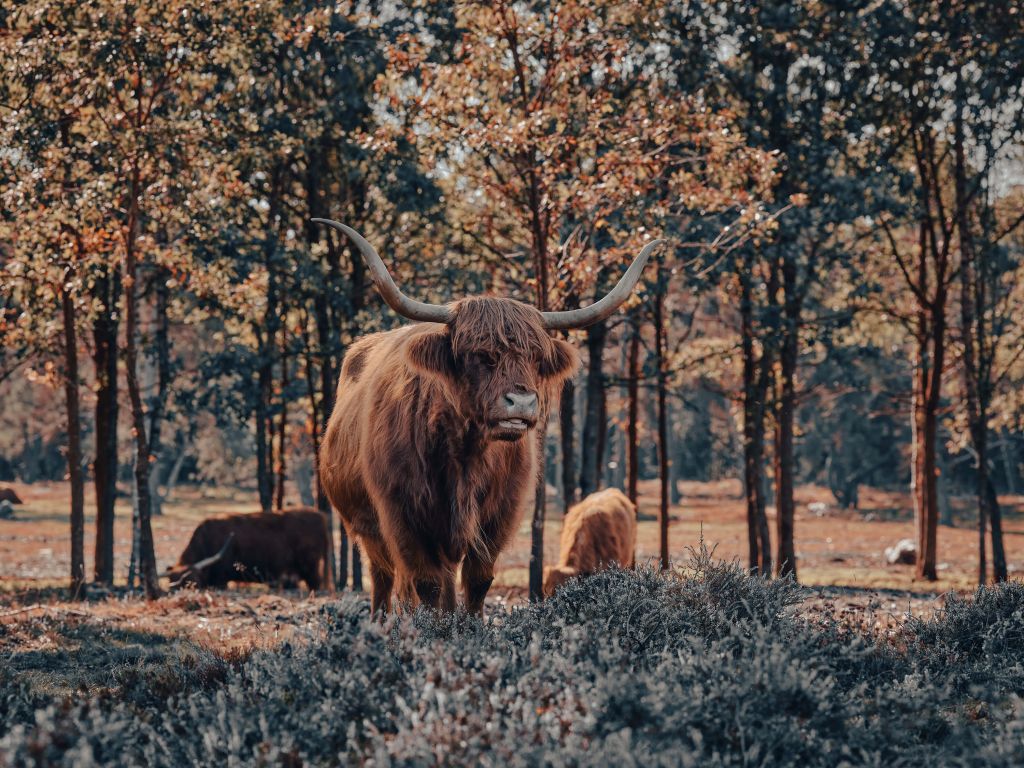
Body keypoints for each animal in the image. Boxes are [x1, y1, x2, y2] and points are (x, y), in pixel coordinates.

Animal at [313, 219, 663, 618]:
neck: (465, 454)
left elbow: (478, 581)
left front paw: (470, 626)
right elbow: (426, 584)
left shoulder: (498, 516)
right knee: (384, 578)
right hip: (366, 526)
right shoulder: (403, 516)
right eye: (479, 355)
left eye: (536, 358)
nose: (522, 402)